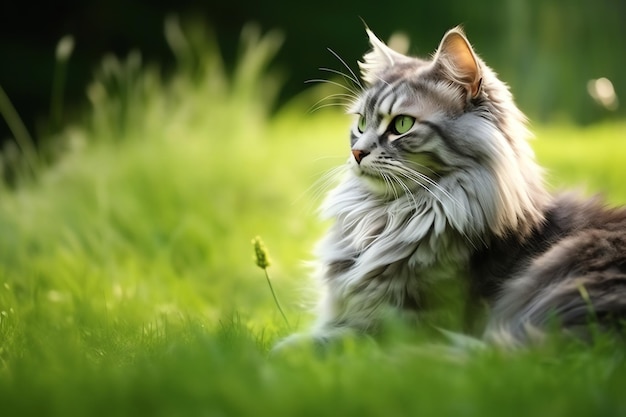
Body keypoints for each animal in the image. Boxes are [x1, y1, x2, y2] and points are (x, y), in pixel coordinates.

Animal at [276, 26, 624, 350]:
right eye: (361, 124)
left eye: (402, 124)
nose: (357, 152)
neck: (389, 217)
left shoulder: (404, 323)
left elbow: (327, 339)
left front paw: (283, 351)